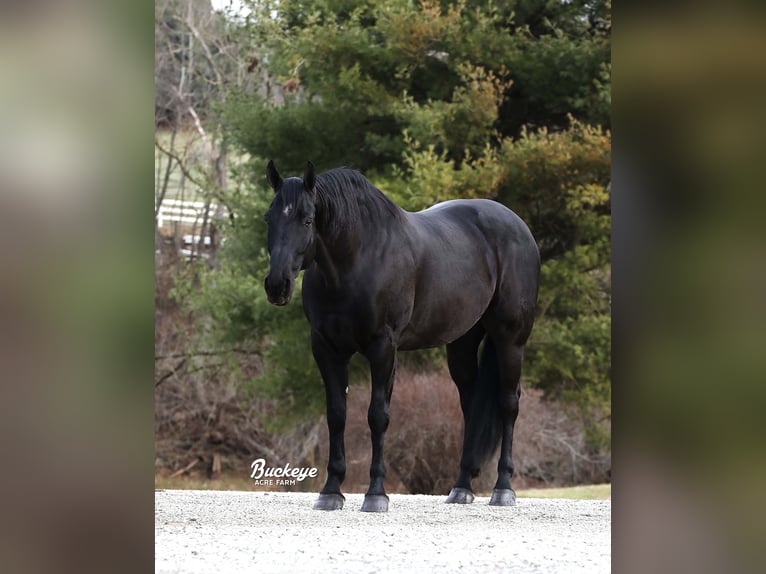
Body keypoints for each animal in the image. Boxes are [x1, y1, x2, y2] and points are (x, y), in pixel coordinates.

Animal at [264, 161, 540, 512]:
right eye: (269, 218)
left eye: (307, 219)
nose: (277, 285)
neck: (357, 261)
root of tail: (518, 225)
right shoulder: (326, 348)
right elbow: (336, 414)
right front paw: (331, 491)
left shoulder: (383, 347)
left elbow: (377, 415)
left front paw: (375, 494)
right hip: (461, 343)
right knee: (472, 405)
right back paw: (461, 488)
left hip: (510, 339)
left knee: (508, 403)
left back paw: (503, 488)